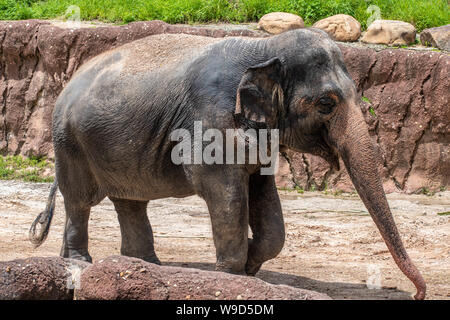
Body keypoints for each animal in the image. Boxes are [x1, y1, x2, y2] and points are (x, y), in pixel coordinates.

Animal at [29, 28, 426, 298]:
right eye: (326, 103)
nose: (419, 293)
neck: (265, 49)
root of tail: (68, 83)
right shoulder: (211, 119)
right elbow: (225, 193)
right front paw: (232, 275)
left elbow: (266, 200)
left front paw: (250, 265)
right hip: (70, 142)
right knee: (80, 200)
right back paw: (81, 263)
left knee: (130, 201)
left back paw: (143, 266)